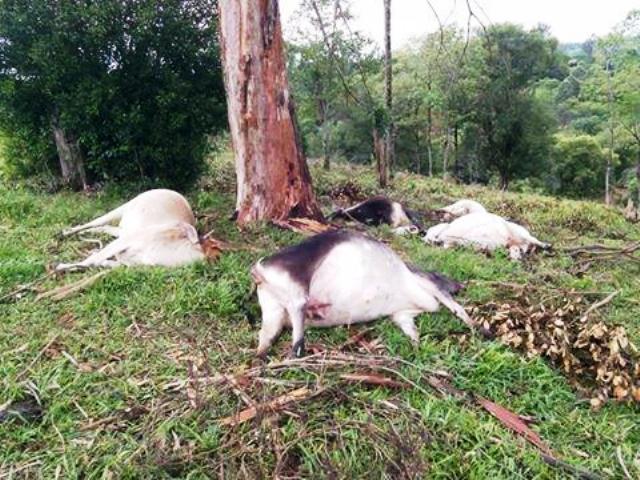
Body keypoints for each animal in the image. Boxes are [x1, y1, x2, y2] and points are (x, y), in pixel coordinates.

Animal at [58, 188, 222, 270]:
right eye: (212, 245)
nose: (217, 259)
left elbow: (100, 262)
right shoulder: (126, 241)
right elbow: (92, 260)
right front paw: (61, 266)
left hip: (125, 229)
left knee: (104, 227)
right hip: (124, 209)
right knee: (96, 222)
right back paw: (67, 232)